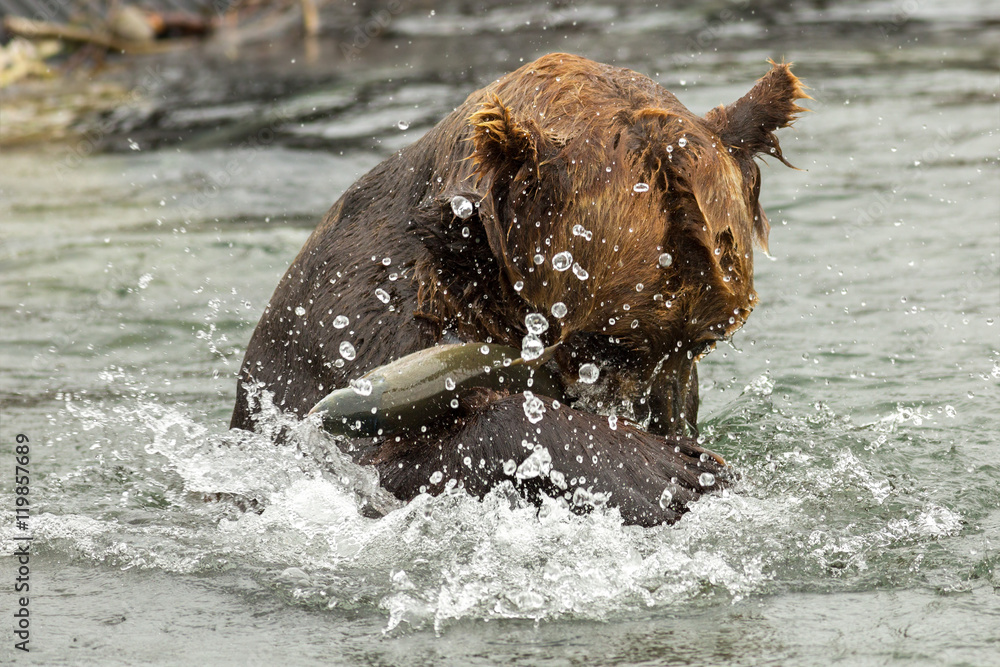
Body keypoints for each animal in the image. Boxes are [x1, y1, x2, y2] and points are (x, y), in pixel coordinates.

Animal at [230, 53, 809, 526]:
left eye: (702, 342)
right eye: (604, 343)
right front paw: (659, 472)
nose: (649, 420)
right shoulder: (358, 330)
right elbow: (383, 467)